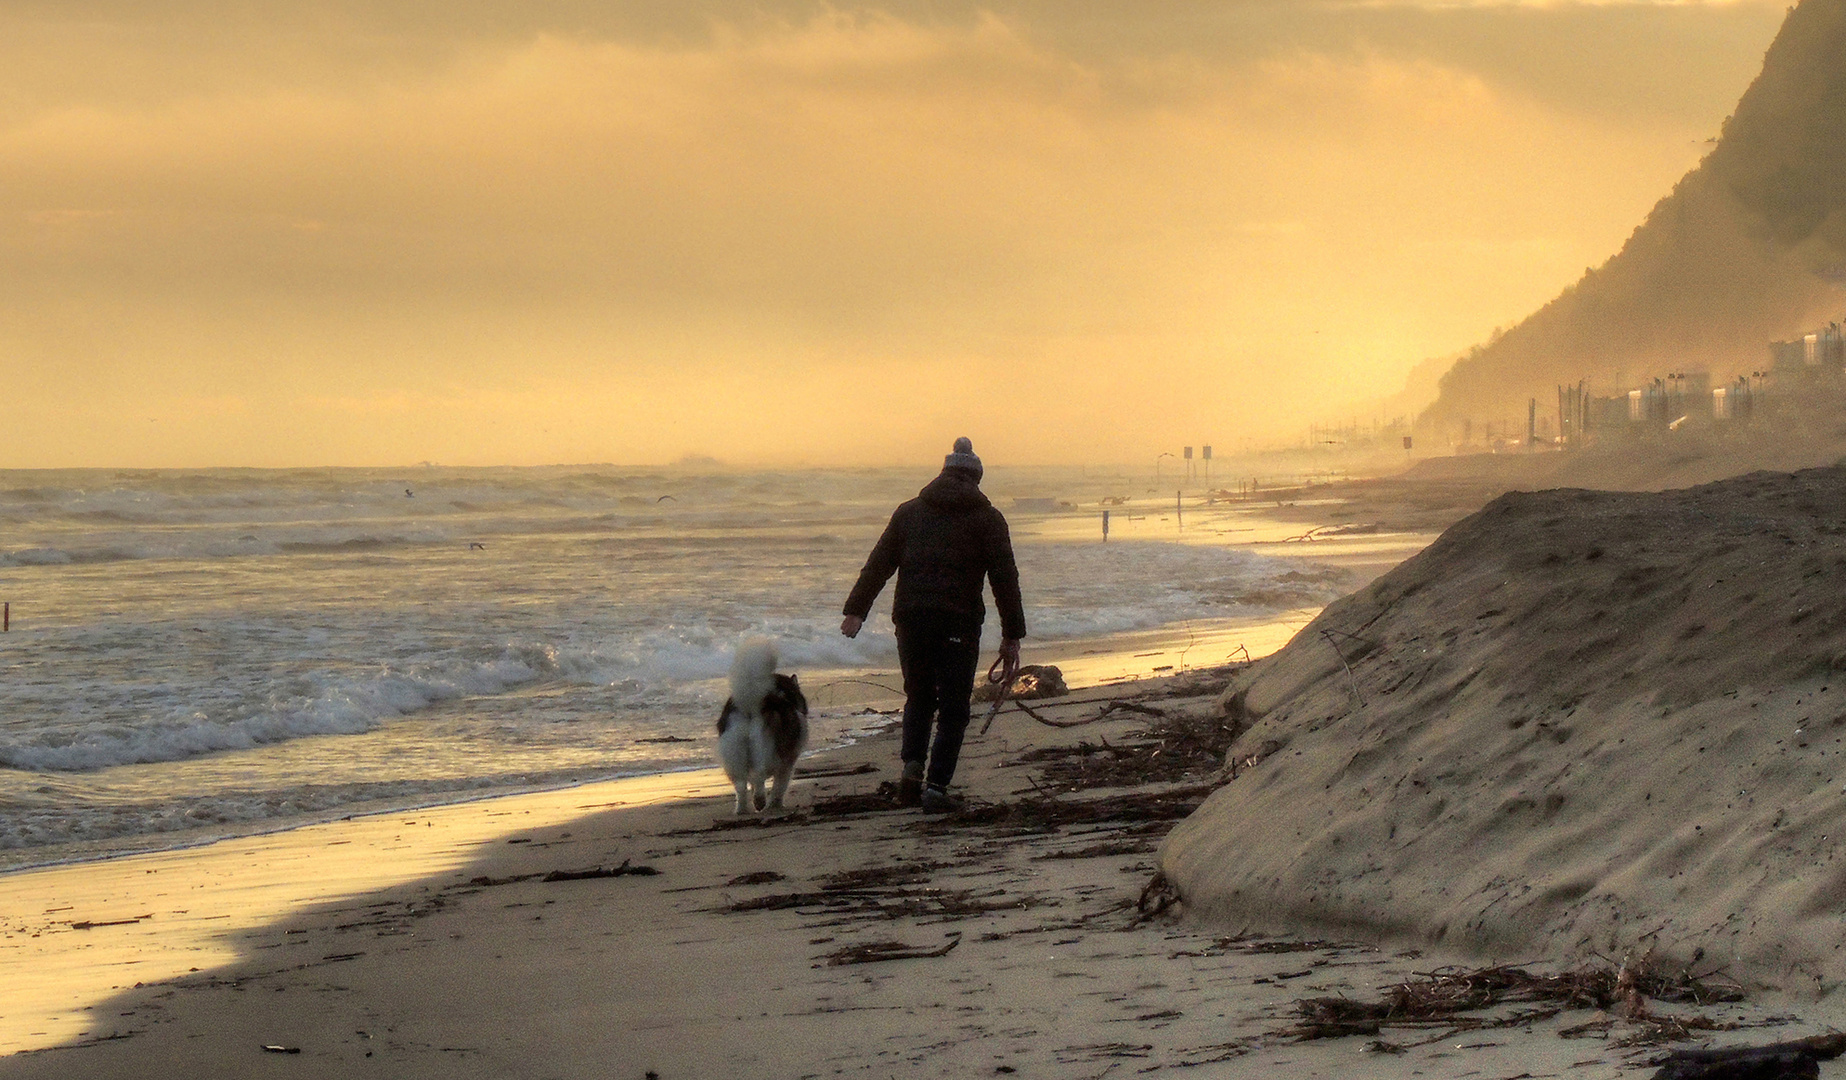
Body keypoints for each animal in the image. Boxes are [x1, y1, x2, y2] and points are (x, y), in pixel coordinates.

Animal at [716, 635, 812, 812]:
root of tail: (751, 704)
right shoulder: (787, 762)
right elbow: (780, 786)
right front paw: (776, 804)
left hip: (734, 754)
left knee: (741, 785)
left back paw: (742, 810)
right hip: (768, 752)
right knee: (758, 775)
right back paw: (760, 801)